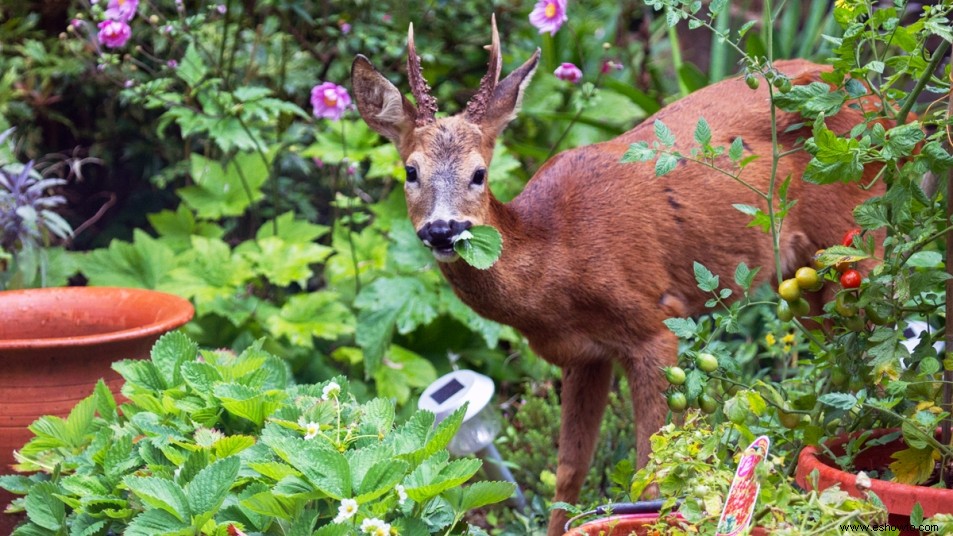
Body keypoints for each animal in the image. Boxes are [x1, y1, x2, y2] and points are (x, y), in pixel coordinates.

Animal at [350, 13, 884, 536]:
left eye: (479, 173)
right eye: (411, 172)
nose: (443, 229)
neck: (557, 259)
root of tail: (877, 94)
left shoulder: (654, 324)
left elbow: (652, 469)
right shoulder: (582, 355)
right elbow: (568, 471)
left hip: (859, 233)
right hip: (801, 275)